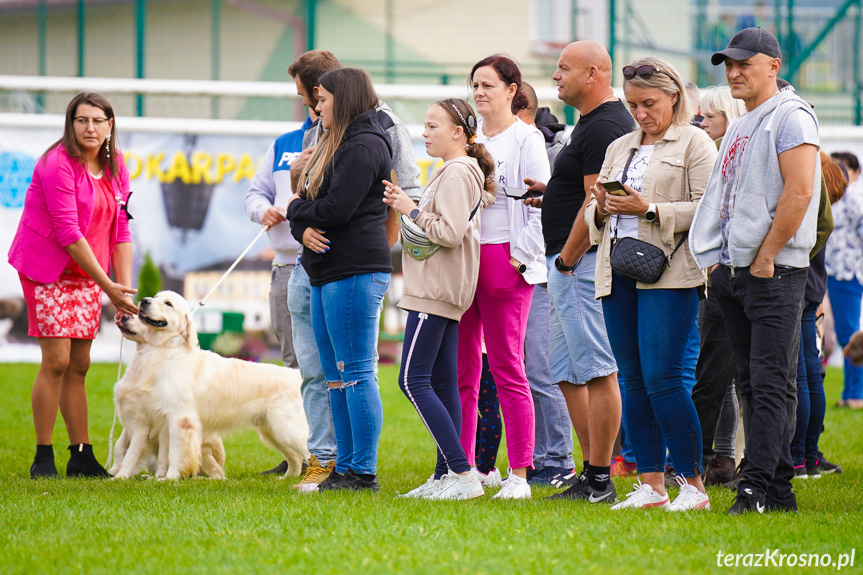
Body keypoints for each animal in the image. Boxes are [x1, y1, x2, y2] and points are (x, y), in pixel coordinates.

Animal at [114, 290, 310, 480]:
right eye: (155, 297)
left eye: (168, 303)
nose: (144, 300)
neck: (167, 350)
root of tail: (297, 376)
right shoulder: (162, 419)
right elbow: (164, 454)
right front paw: (160, 478)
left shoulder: (181, 418)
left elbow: (175, 453)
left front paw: (171, 478)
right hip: (273, 431)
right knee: (295, 457)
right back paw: (286, 478)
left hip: (289, 428)